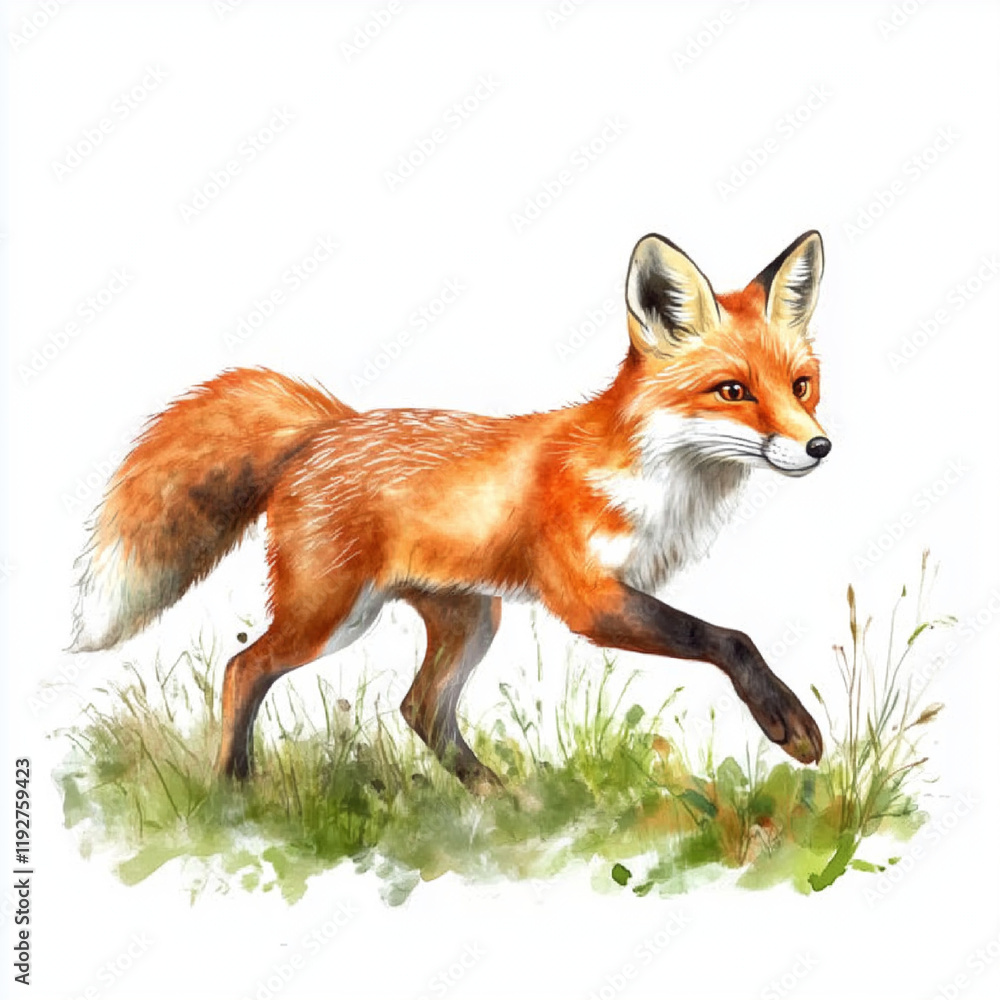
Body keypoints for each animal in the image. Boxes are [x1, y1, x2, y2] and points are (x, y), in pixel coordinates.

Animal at [71, 231, 830, 793]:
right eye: (732, 390)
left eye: (801, 386)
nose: (819, 447)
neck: (657, 479)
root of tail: (326, 428)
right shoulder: (585, 597)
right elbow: (726, 637)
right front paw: (788, 723)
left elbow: (724, 635)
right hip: (331, 615)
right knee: (242, 670)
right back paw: (233, 791)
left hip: (469, 617)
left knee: (421, 708)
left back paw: (501, 799)